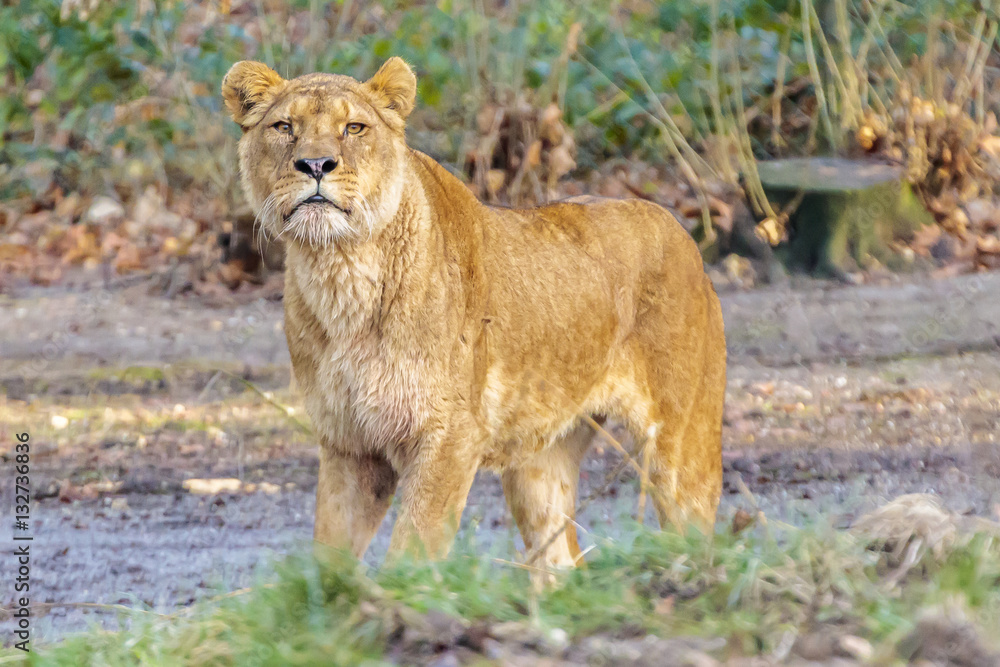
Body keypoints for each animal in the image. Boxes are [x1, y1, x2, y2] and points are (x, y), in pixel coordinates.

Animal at [221, 57, 726, 571]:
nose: (316, 165)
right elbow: (330, 564)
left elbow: (410, 555)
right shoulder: (349, 445)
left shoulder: (451, 437)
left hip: (683, 448)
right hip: (541, 462)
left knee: (698, 537)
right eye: (285, 127)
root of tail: (679, 229)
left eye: (354, 128)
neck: (340, 274)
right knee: (560, 563)